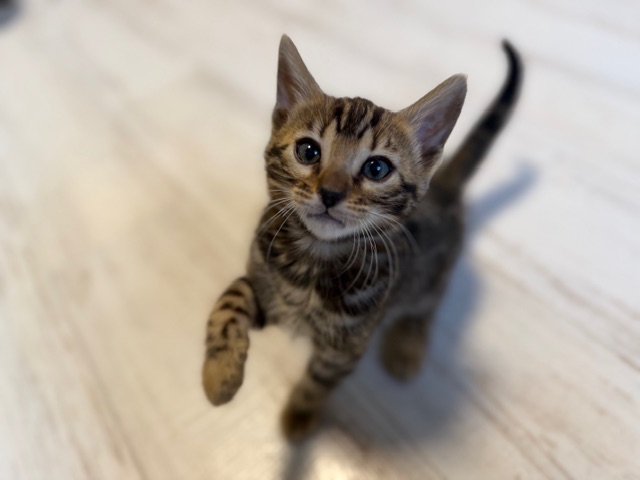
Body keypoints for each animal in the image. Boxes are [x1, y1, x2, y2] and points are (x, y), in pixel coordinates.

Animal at [202, 35, 522, 441]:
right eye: (308, 151)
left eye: (377, 168)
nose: (330, 193)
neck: (313, 261)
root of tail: (445, 187)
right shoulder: (263, 284)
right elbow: (229, 302)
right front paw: (219, 376)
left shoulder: (346, 347)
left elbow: (317, 382)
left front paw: (298, 416)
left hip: (429, 275)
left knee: (429, 304)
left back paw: (407, 347)